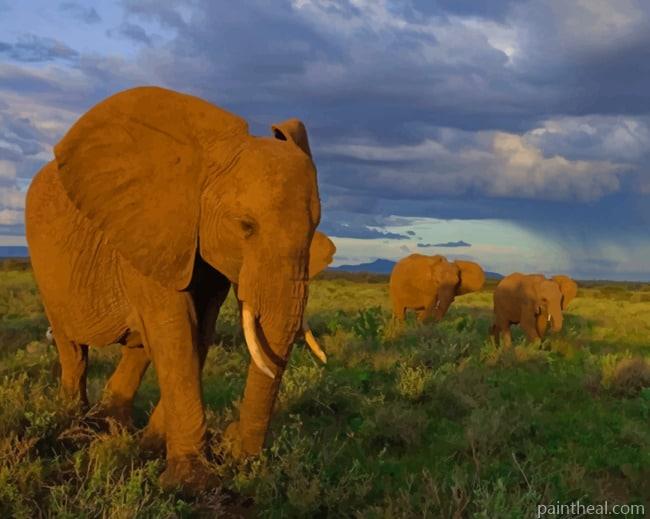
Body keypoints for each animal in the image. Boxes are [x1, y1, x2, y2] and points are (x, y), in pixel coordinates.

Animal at [25, 86, 321, 491]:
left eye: (315, 228)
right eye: (245, 226)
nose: (233, 445)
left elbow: (198, 333)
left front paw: (154, 450)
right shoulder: (151, 230)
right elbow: (176, 330)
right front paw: (189, 482)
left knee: (138, 348)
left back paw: (114, 429)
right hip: (46, 270)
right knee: (74, 349)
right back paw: (76, 427)